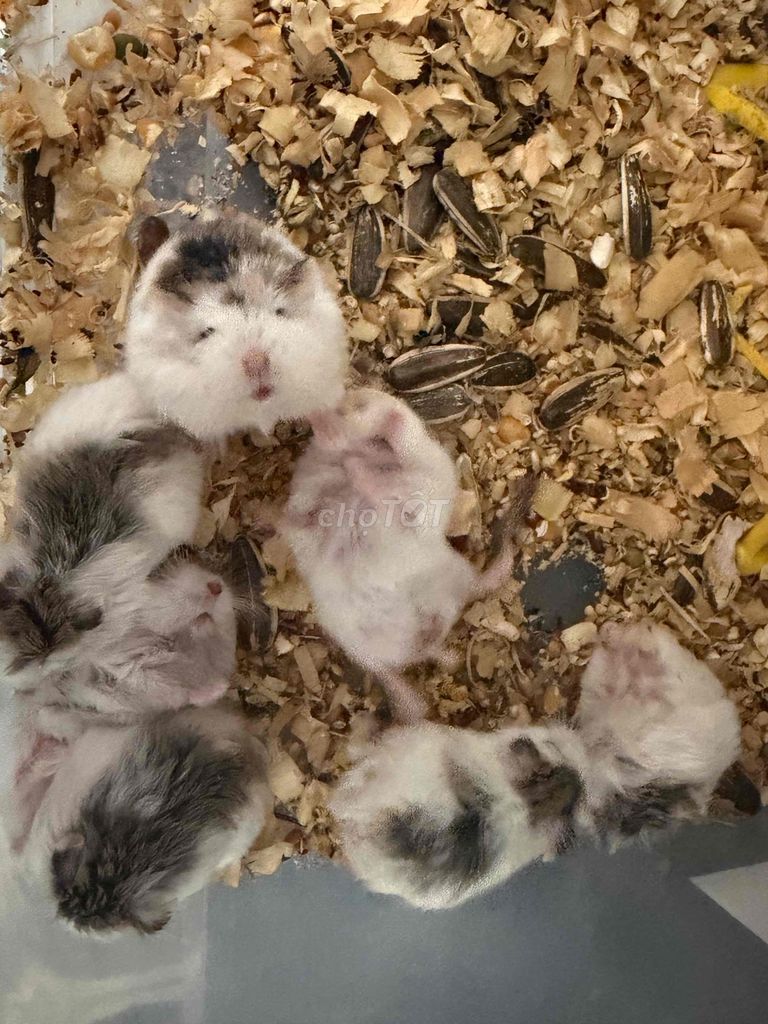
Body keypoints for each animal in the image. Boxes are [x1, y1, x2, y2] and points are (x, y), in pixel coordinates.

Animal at [284, 388, 535, 719]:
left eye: (359, 405)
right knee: (412, 663)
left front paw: (351, 454)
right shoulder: (312, 491)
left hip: (446, 583)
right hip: (359, 642)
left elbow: (383, 478)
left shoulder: (421, 487)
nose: (336, 403)